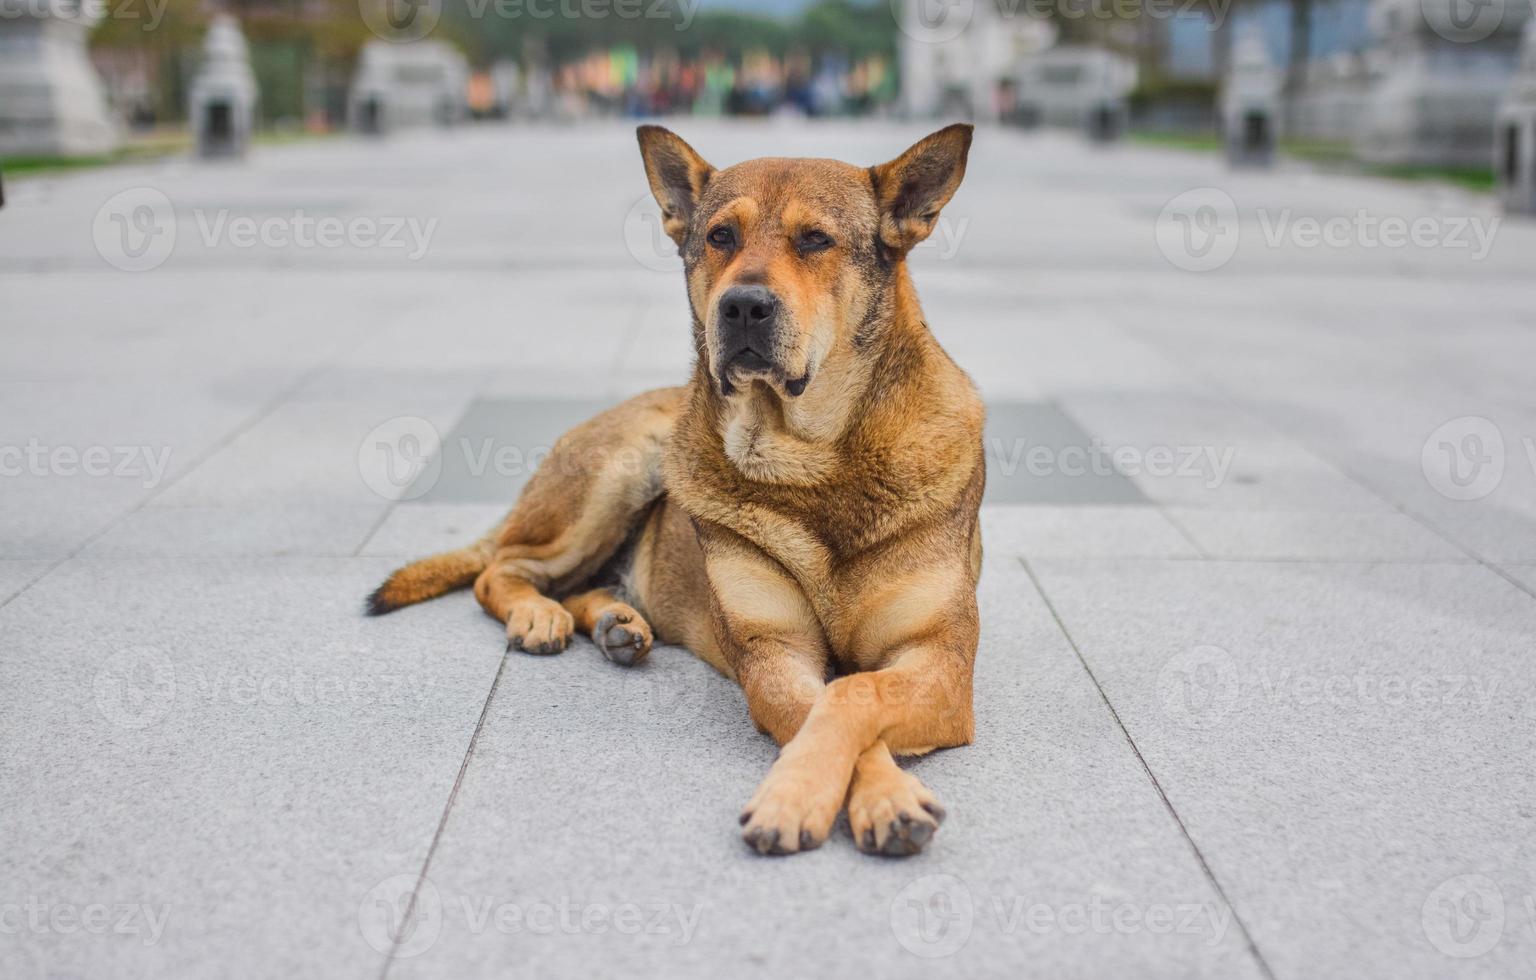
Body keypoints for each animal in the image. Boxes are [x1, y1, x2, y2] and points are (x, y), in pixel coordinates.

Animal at [371, 124, 983, 860]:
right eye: (720, 236)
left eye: (814, 239)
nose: (743, 305)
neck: (810, 459)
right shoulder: (772, 653)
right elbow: (826, 704)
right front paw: (823, 796)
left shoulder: (939, 661)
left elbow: (855, 693)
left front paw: (865, 799)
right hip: (622, 470)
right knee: (503, 569)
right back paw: (540, 615)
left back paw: (617, 622)